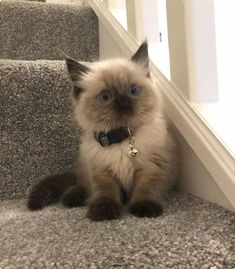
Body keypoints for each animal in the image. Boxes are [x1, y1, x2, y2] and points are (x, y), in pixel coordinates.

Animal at [27, 41, 179, 220]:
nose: (123, 103)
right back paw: (73, 197)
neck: (121, 139)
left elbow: (146, 189)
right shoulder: (101, 171)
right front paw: (104, 212)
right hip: (84, 164)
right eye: (106, 97)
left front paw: (145, 209)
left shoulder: (151, 167)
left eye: (133, 91)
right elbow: (106, 192)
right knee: (81, 183)